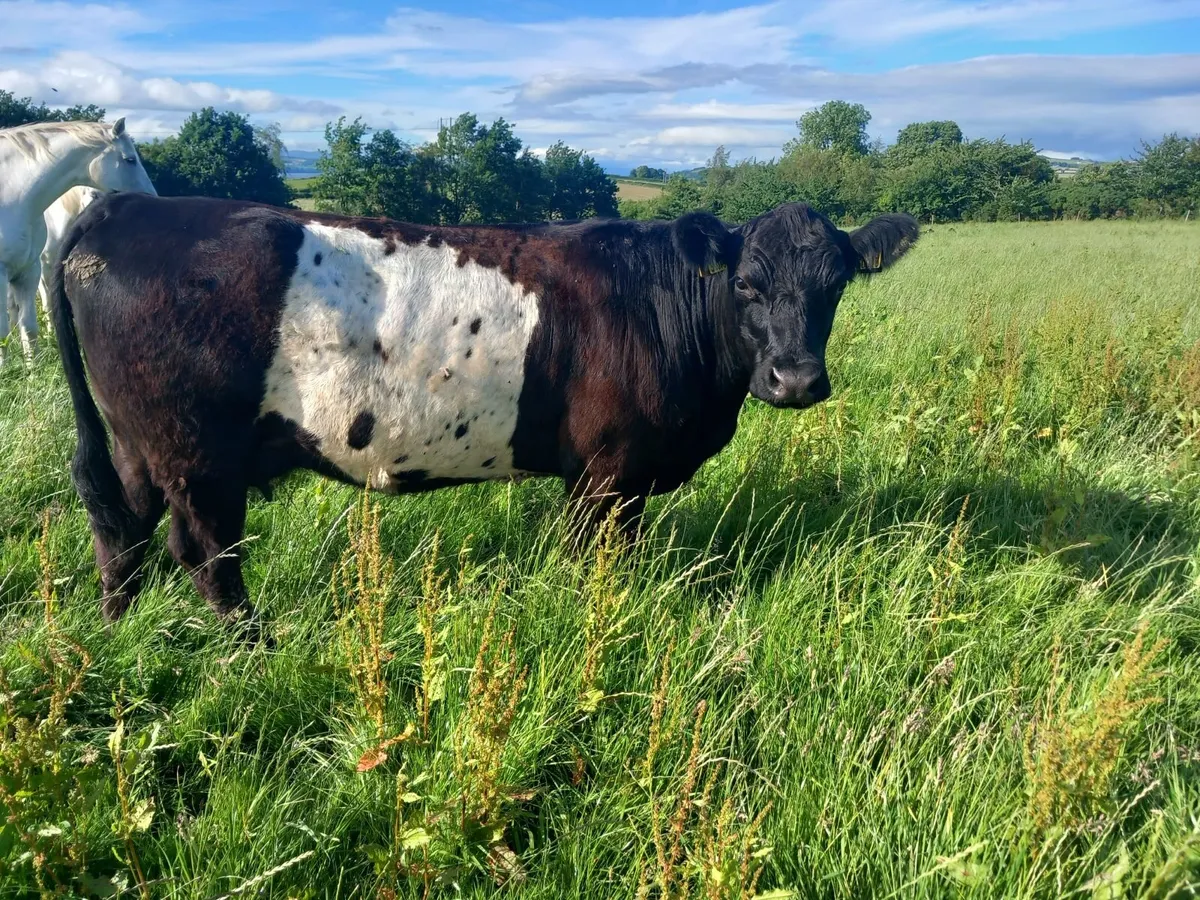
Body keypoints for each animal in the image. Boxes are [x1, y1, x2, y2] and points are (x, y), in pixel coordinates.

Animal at [50, 194, 918, 631]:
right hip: (195, 452)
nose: (795, 378)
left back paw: (116, 635)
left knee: (120, 533)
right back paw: (253, 649)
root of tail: (122, 206)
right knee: (202, 554)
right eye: (745, 282)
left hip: (138, 445)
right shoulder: (609, 473)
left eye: (836, 282)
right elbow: (600, 560)